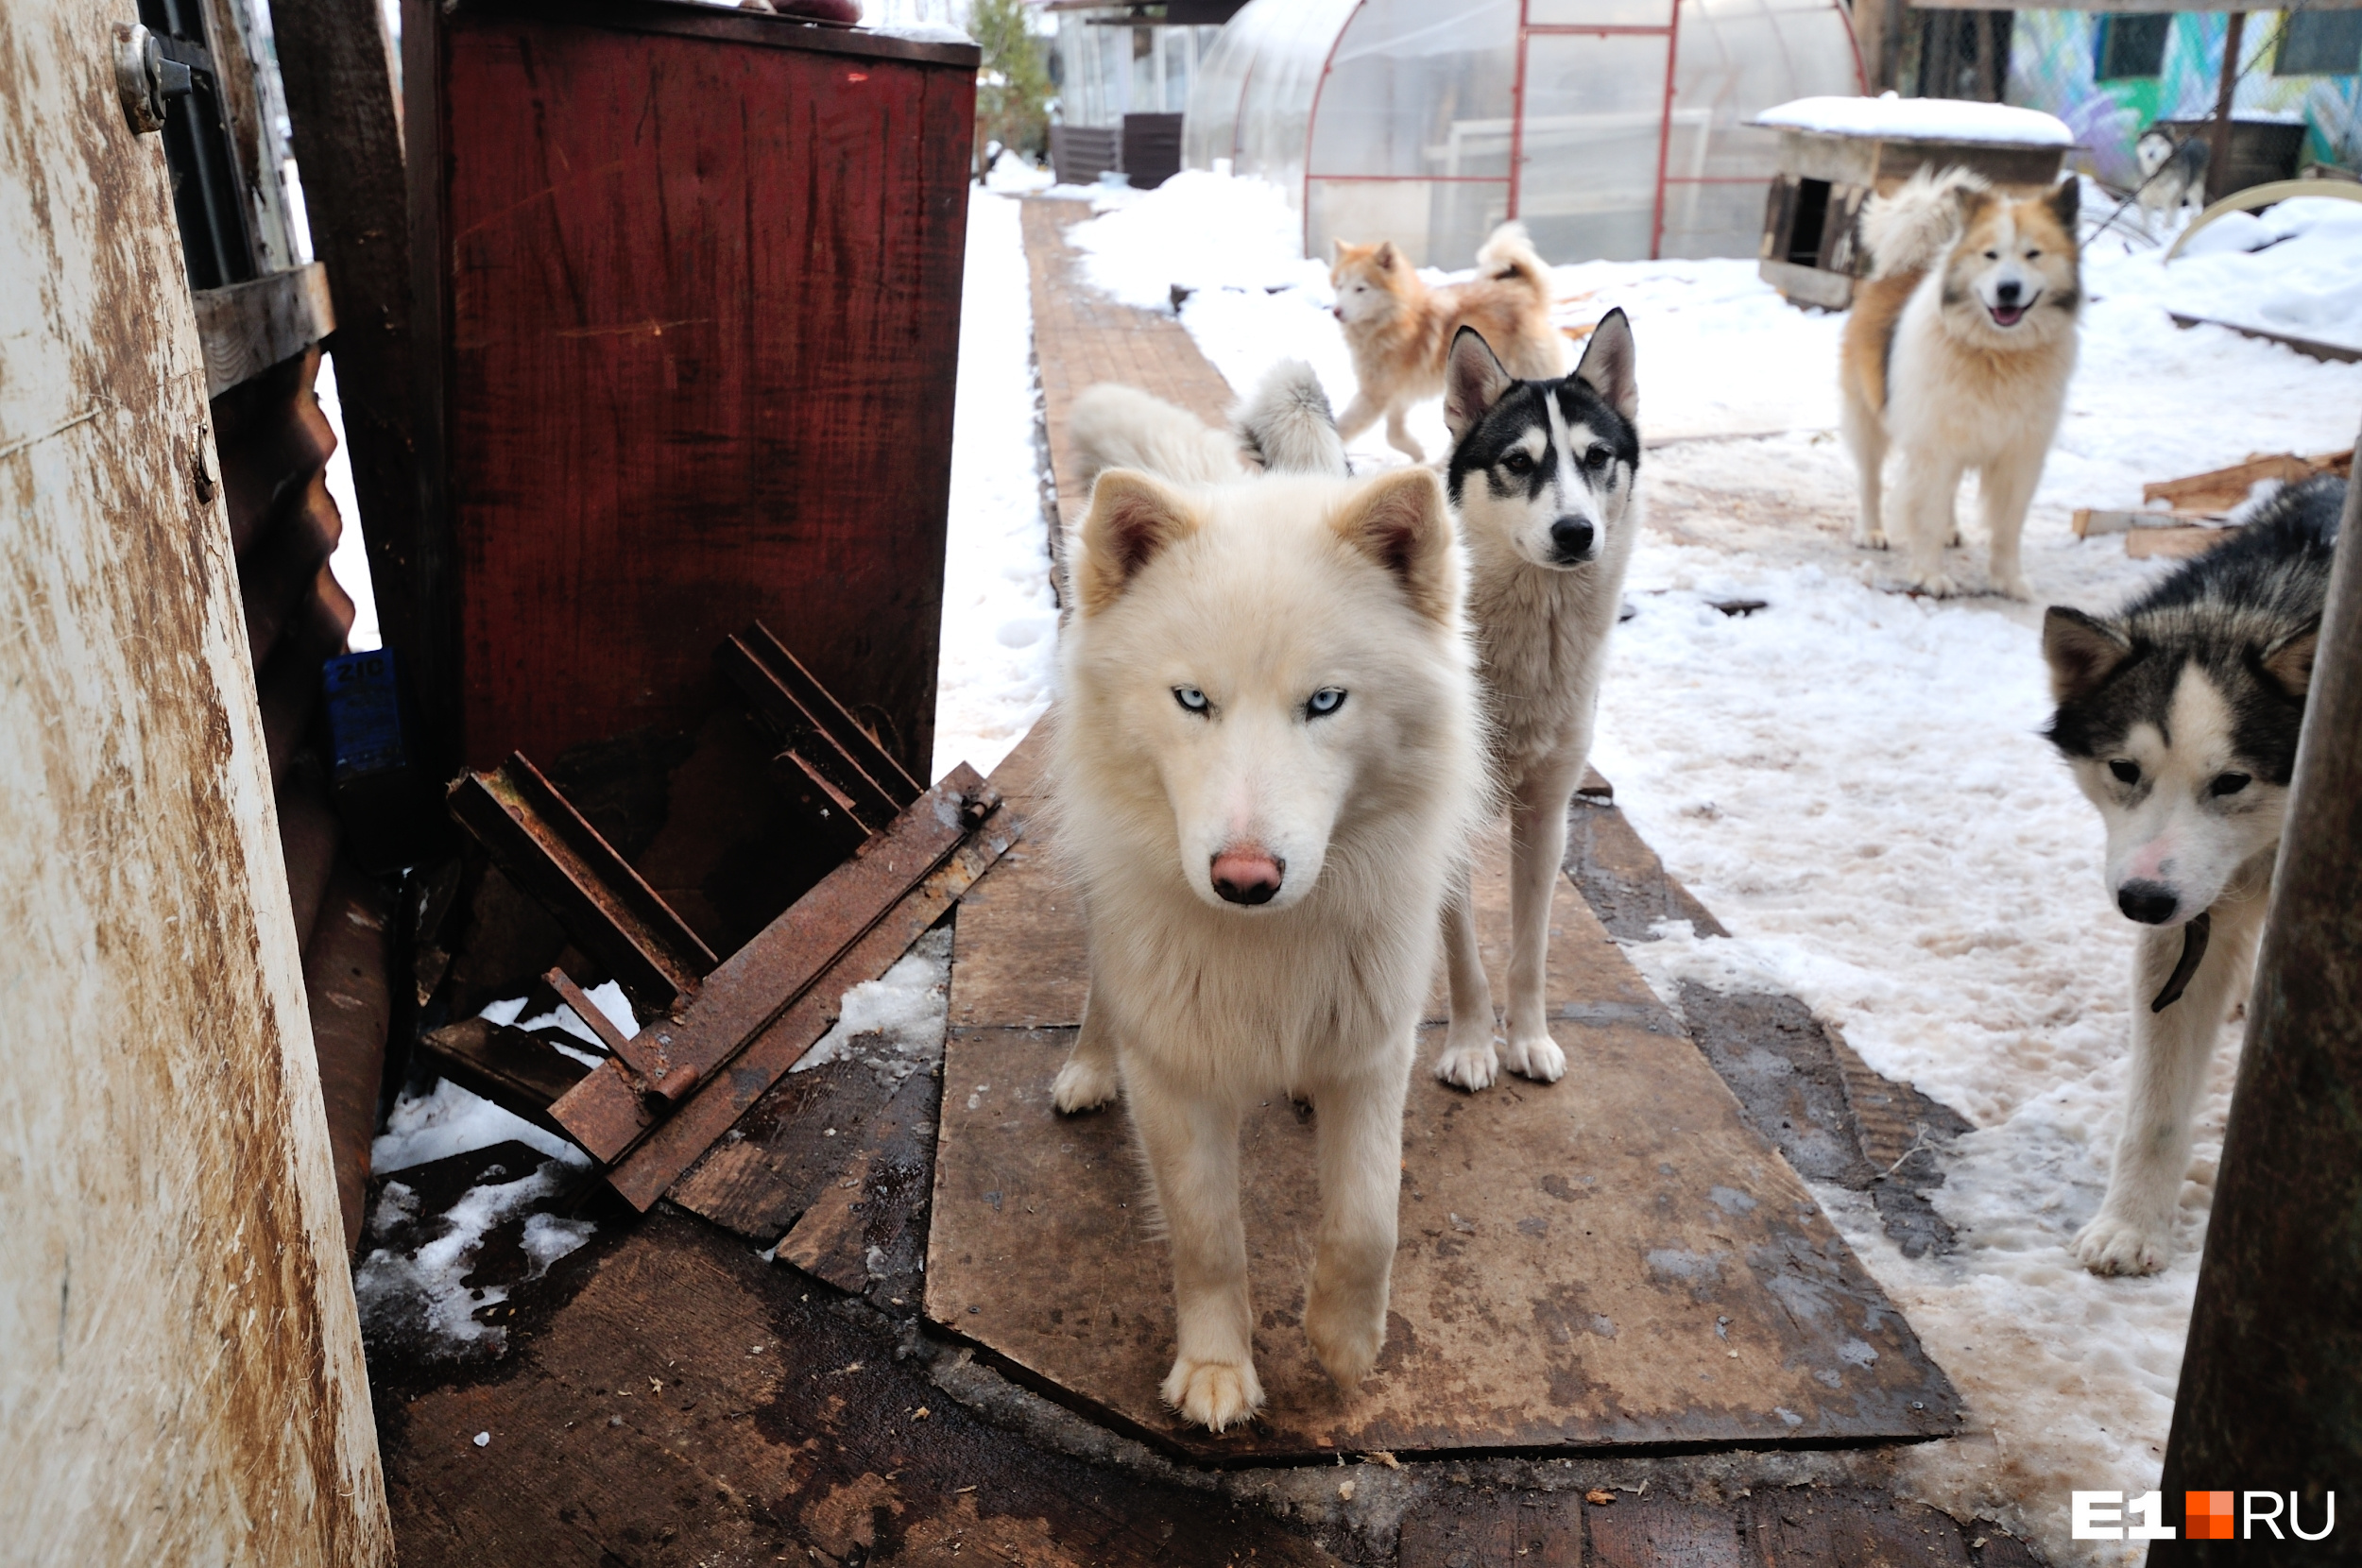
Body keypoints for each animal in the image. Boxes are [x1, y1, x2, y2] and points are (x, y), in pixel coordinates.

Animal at [1049, 378, 1483, 1436]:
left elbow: (1369, 1218)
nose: (1245, 878)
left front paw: (1345, 1342)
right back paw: (1088, 1064)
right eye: (1191, 699)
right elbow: (1208, 1236)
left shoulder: (1373, 1051)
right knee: (1101, 985)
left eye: (1325, 702)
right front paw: (1216, 1369)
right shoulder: (1177, 1078)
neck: (1268, 943)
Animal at [1332, 223, 1568, 463]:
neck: (1395, 320)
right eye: (1339, 287)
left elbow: (1343, 428)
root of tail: (1524, 291)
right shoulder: (1396, 396)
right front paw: (1418, 456)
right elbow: (1394, 435)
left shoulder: (1375, 396)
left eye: (1360, 288)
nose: (1336, 311)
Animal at [1833, 170, 2079, 600]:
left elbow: (2008, 526)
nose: (2008, 289)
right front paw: (1930, 575)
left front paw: (2008, 580)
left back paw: (1951, 530)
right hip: (1868, 419)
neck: (1996, 352)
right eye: (1990, 255)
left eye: (2034, 254)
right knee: (1870, 479)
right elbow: (1925, 513)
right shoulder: (1932, 446)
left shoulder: (2020, 456)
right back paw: (1872, 531)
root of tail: (1906, 267)